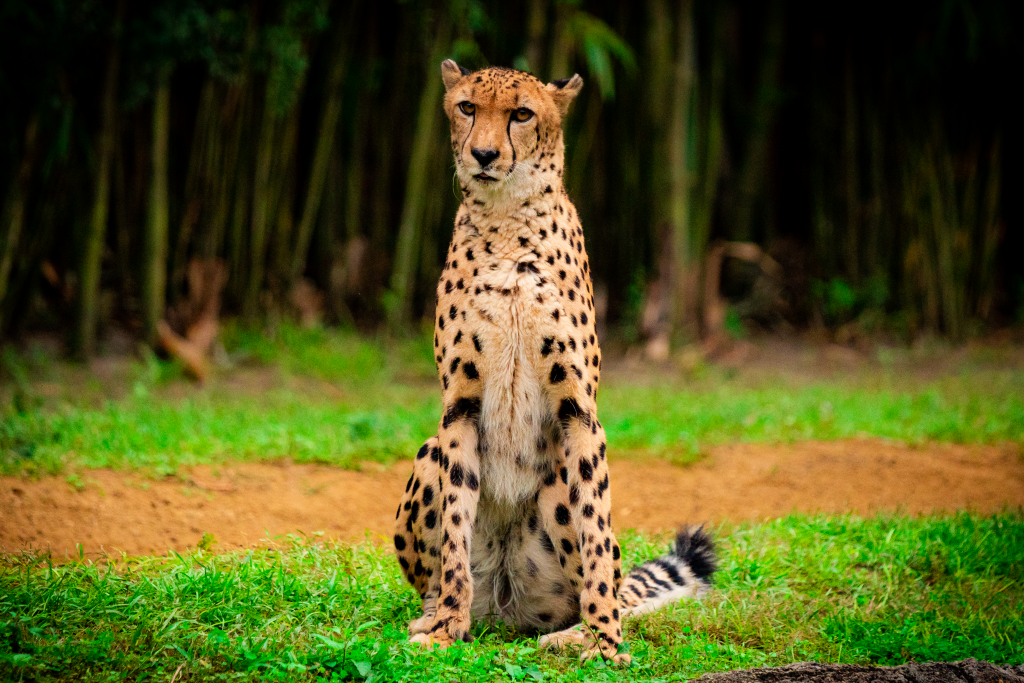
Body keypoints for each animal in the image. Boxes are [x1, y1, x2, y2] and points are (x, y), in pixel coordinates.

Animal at [393, 60, 720, 663]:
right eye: (467, 107)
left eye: (522, 114)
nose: (484, 154)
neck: (505, 221)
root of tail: (505, 609)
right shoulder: (458, 408)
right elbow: (454, 530)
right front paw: (447, 629)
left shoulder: (579, 410)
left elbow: (595, 532)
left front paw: (606, 645)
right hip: (430, 449)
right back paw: (437, 616)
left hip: (556, 484)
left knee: (606, 576)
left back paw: (572, 634)